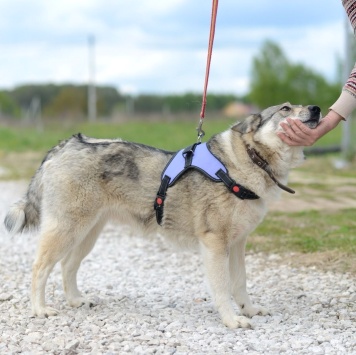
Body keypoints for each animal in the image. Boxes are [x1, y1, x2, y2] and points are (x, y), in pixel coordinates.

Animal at [3, 101, 320, 330]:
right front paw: (231, 320)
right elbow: (222, 288)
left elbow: (240, 283)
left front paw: (250, 310)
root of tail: (68, 144)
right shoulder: (215, 244)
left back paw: (76, 301)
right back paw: (40, 309)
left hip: (87, 234)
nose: (317, 108)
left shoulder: (239, 244)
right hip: (67, 230)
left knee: (67, 266)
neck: (243, 163)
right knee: (39, 268)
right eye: (286, 108)